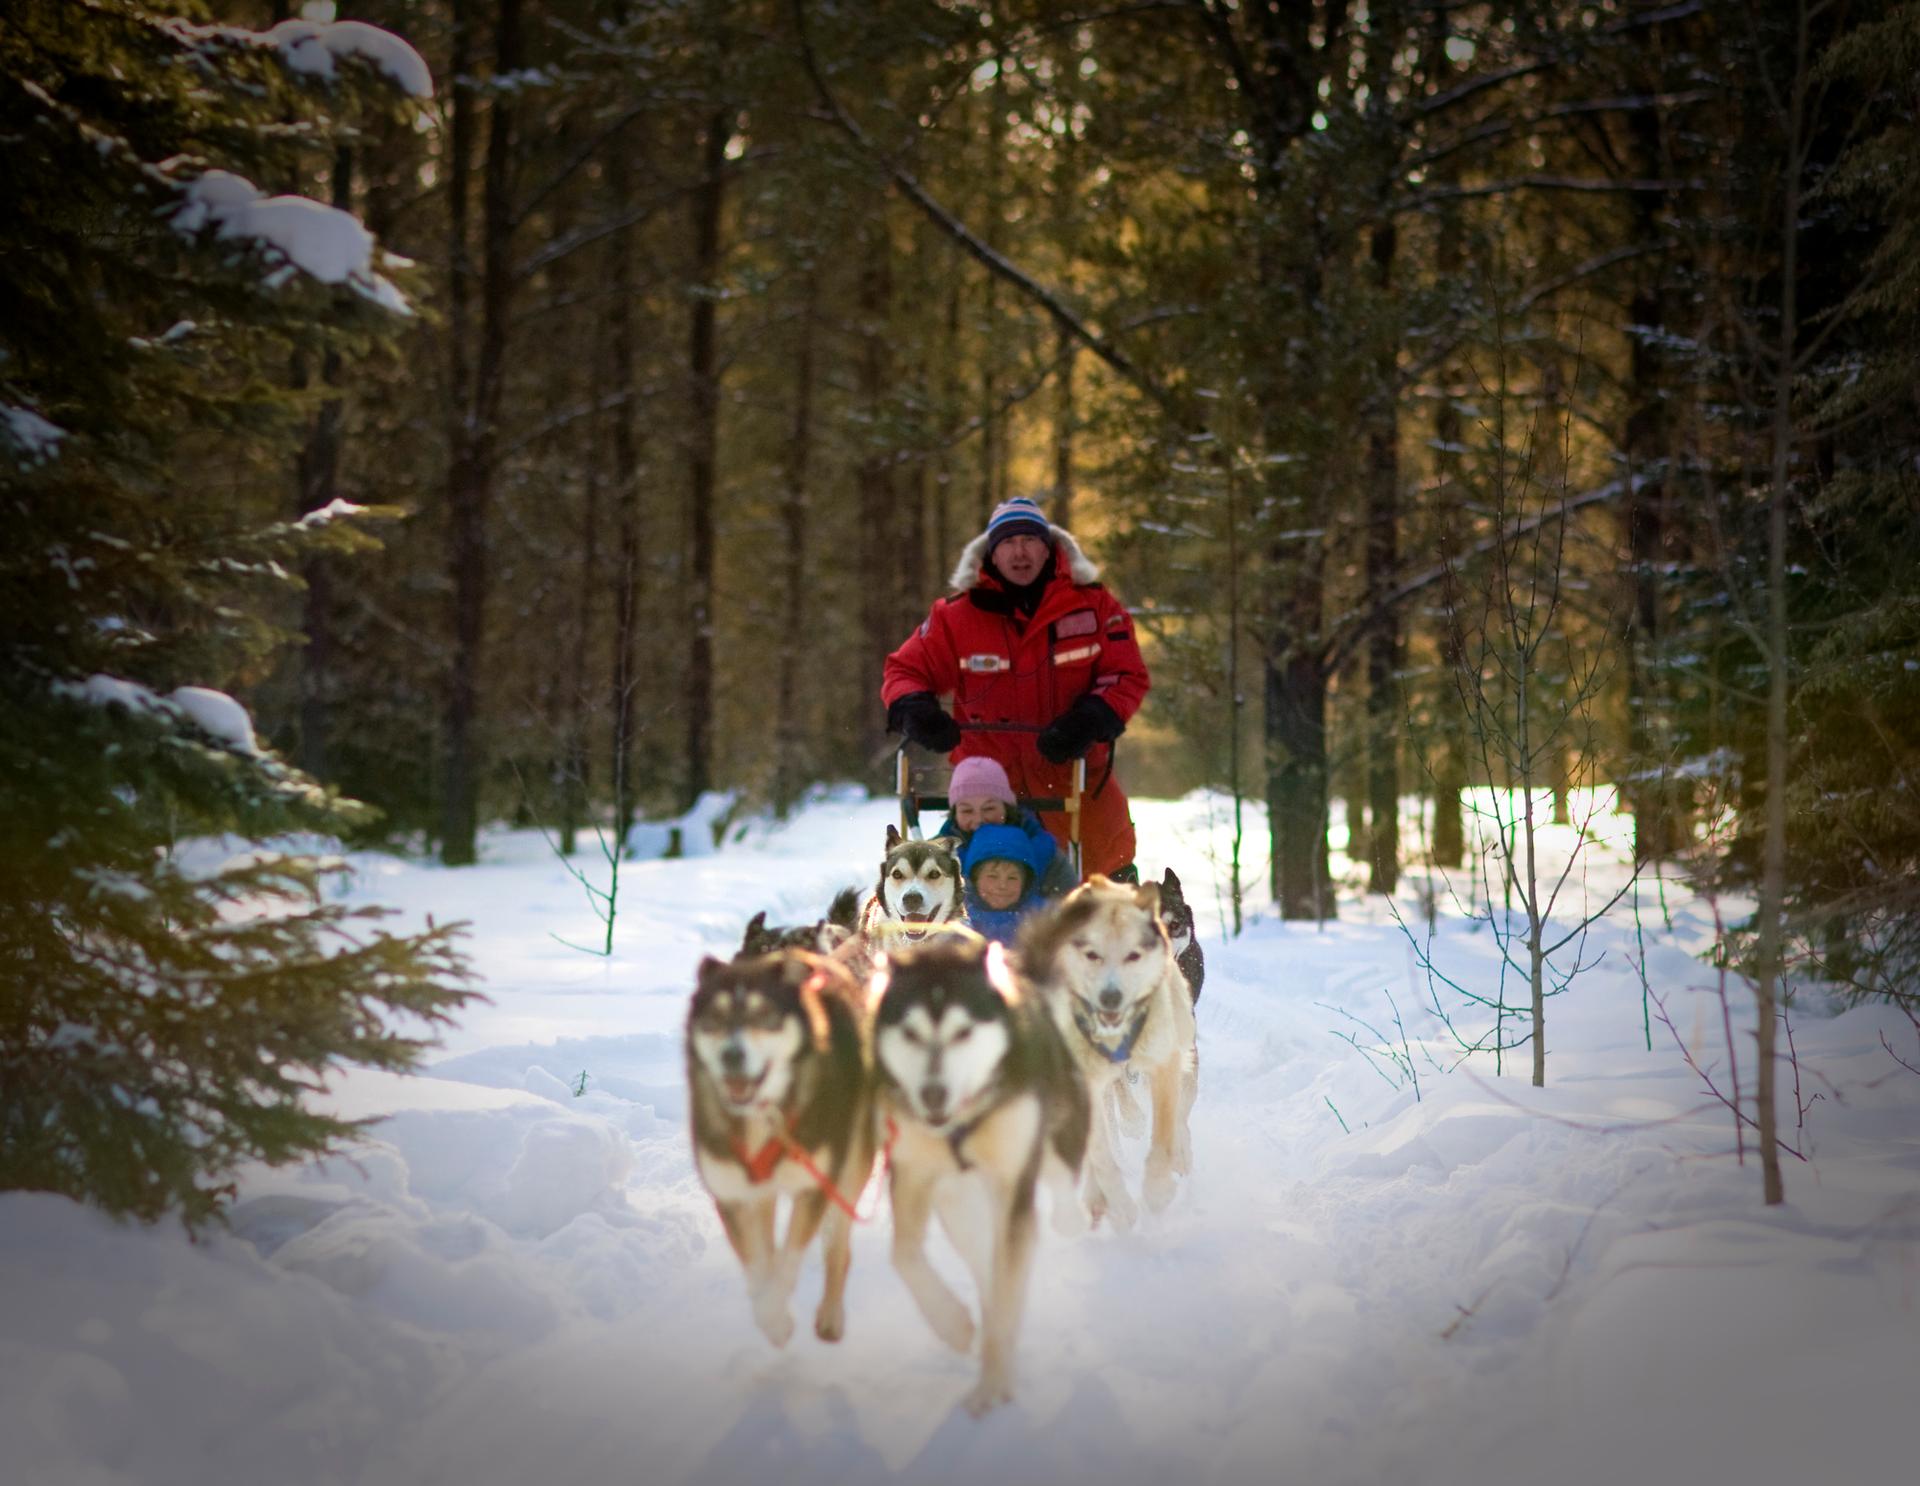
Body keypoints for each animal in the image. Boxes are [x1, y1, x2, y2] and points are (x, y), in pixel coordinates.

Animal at [687, 956, 875, 1351]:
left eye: (764, 1014)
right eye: (715, 1016)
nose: (732, 1054)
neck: (761, 1116)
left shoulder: (814, 1185)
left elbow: (790, 1259)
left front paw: (778, 1314)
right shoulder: (733, 1195)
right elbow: (758, 1265)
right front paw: (771, 1316)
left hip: (848, 1170)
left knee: (838, 1248)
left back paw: (831, 1316)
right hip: (761, 1192)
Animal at [867, 936, 1082, 1413]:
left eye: (963, 1032)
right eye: (910, 1033)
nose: (933, 1093)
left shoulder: (1015, 1185)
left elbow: (1006, 1290)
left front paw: (992, 1386)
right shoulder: (911, 1171)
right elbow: (902, 1255)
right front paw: (953, 1324)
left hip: (1058, 1143)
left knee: (1061, 1189)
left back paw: (1069, 1219)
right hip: (958, 1204)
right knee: (984, 1266)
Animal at [1029, 871, 1190, 1236]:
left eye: (1133, 955)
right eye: (1092, 954)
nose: (1110, 997)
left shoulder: (1163, 1064)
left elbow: (1162, 1138)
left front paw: (1157, 1190)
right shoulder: (1083, 1084)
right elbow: (1101, 1156)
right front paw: (1120, 1206)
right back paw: (1095, 1198)